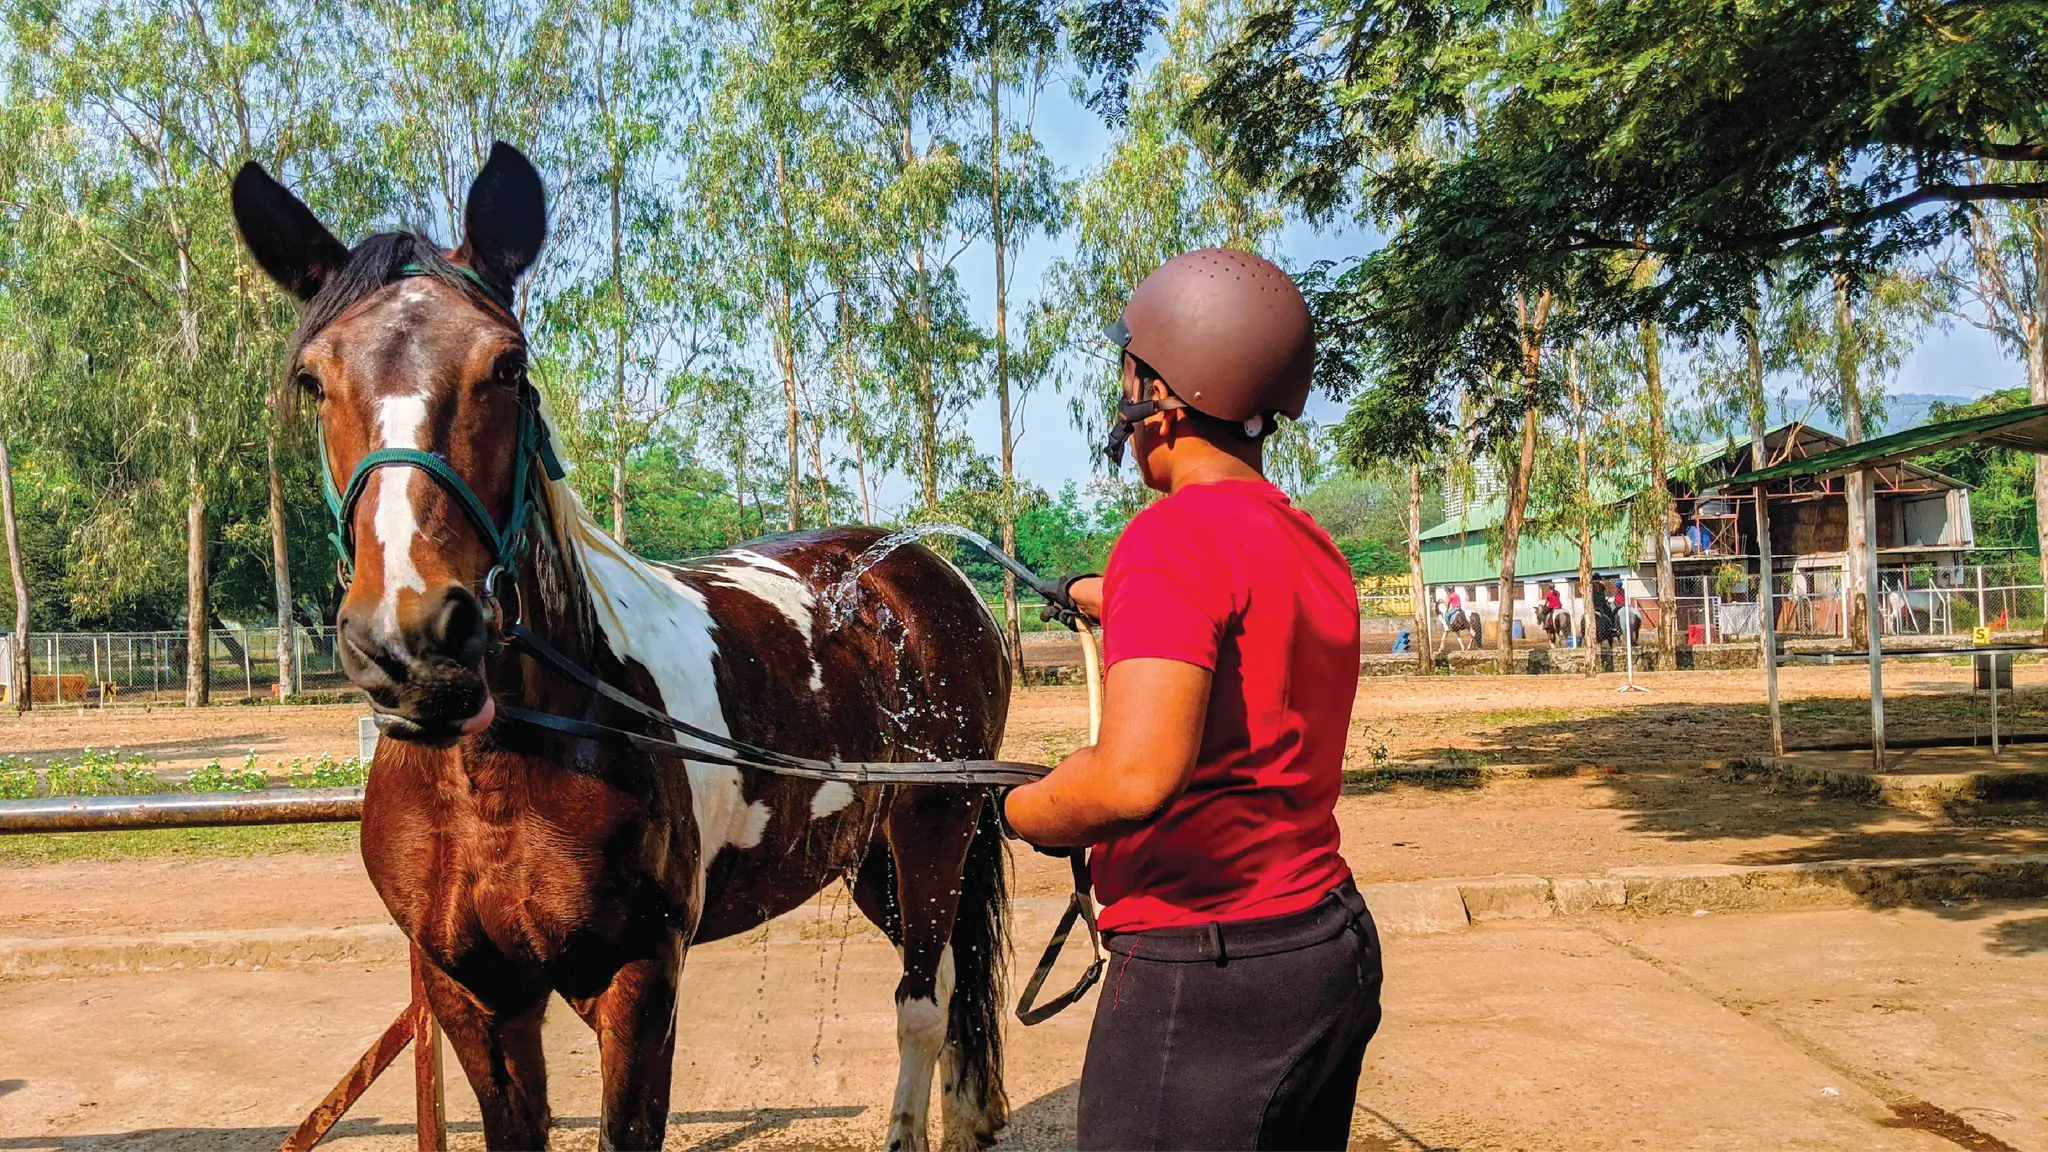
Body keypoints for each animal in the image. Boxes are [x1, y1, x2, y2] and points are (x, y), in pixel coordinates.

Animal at [232, 144, 1012, 1152]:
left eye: (507, 365)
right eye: (312, 380)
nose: (414, 640)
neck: (503, 770)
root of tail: (925, 569)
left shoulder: (638, 984)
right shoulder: (472, 995)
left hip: (935, 830)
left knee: (924, 998)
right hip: (866, 853)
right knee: (949, 983)